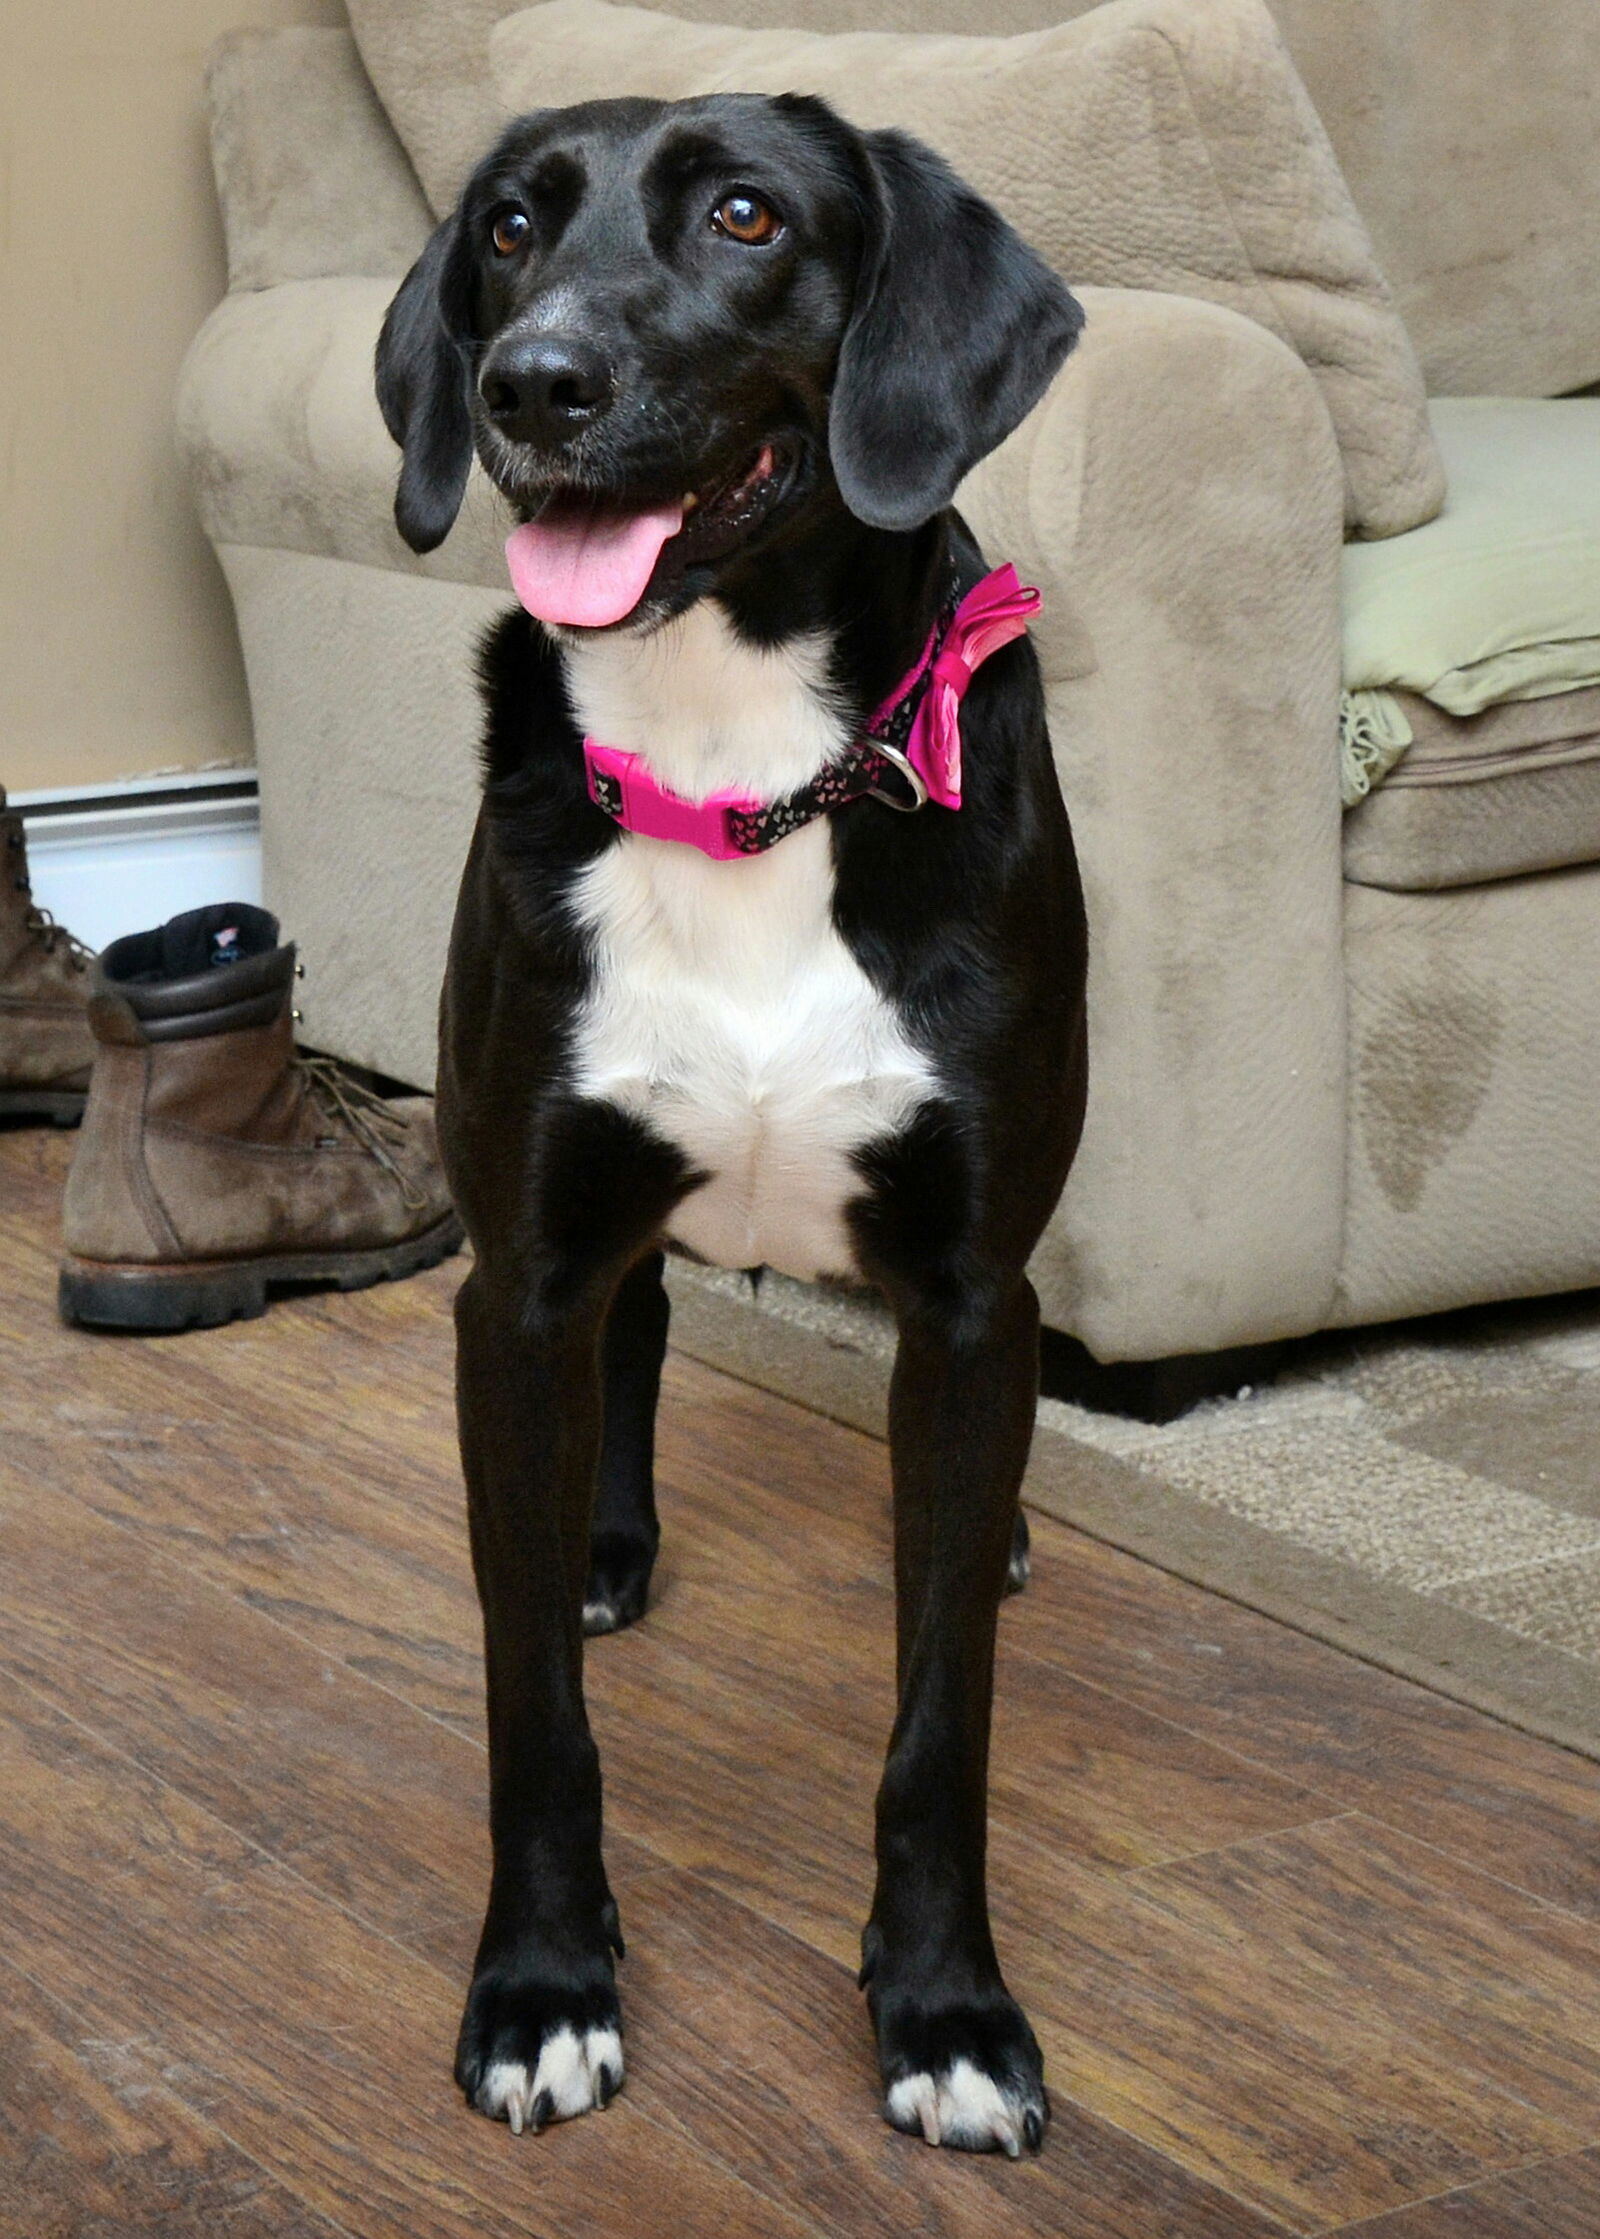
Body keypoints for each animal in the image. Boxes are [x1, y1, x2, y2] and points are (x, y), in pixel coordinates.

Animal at [378, 91, 1087, 2167]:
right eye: (511, 228)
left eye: (749, 217)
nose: (531, 381)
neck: (745, 772)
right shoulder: (520, 1274)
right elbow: (532, 1702)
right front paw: (544, 1983)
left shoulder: (972, 1296)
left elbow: (942, 1718)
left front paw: (947, 2009)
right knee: (640, 1332)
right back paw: (605, 1541)